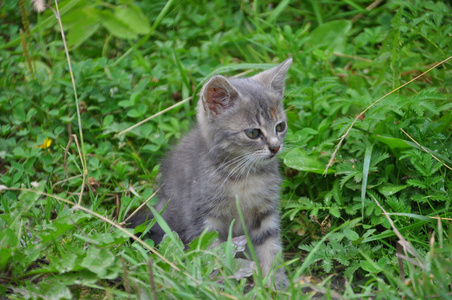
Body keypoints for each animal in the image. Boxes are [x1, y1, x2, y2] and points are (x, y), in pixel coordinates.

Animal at [130, 57, 294, 288]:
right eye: (253, 133)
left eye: (280, 127)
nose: (275, 147)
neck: (243, 176)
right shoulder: (203, 218)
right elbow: (213, 255)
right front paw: (222, 287)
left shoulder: (266, 213)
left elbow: (271, 247)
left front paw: (276, 283)